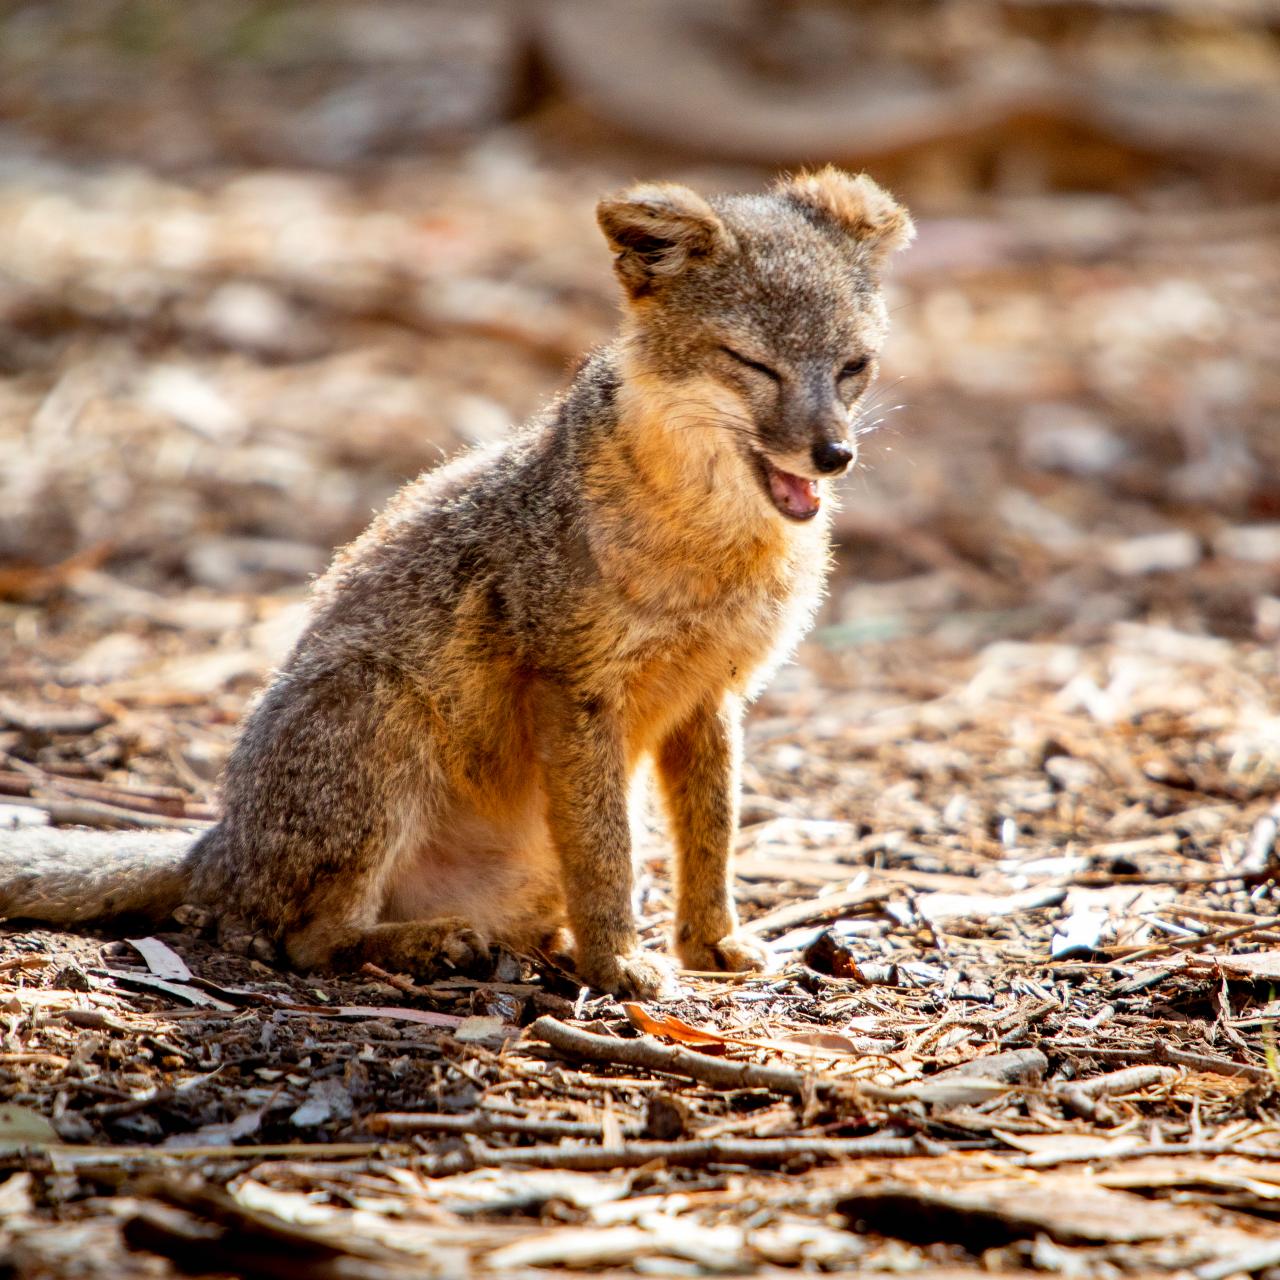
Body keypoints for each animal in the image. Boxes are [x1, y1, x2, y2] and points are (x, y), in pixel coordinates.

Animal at [0, 165, 911, 993]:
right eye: (753, 365)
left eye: (852, 368)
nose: (834, 454)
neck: (715, 552)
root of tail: (215, 844)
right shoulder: (574, 689)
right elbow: (607, 852)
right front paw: (617, 962)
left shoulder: (713, 695)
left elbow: (712, 837)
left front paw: (709, 943)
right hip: (379, 712)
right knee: (310, 941)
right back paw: (431, 944)